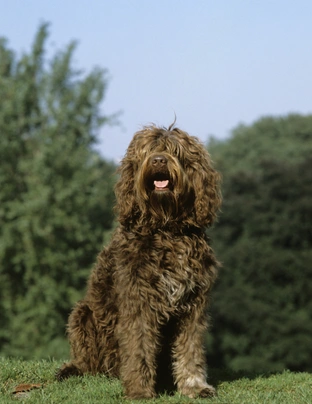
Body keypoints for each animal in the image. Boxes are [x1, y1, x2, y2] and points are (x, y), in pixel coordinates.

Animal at [56, 124, 222, 400]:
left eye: (175, 150)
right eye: (149, 151)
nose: (158, 160)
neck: (166, 228)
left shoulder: (193, 304)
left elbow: (190, 348)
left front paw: (194, 386)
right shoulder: (138, 300)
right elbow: (139, 346)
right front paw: (139, 390)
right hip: (82, 315)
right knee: (88, 364)